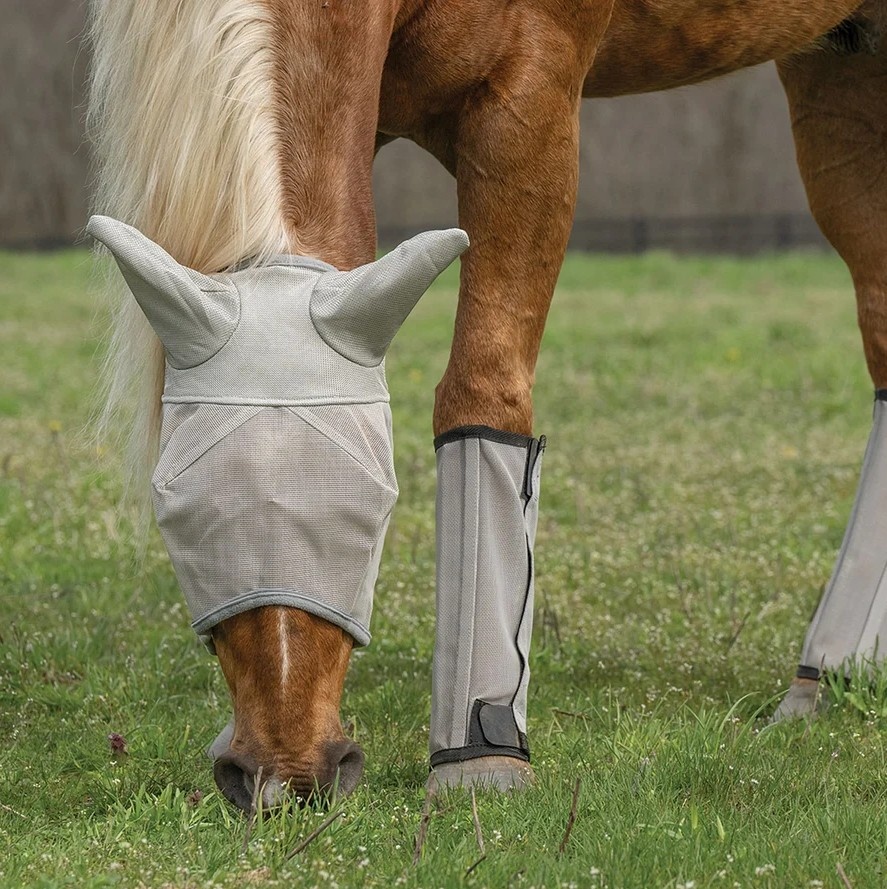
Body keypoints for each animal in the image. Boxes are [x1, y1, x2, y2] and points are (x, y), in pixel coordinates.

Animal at [87, 0, 887, 810]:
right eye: (177, 513)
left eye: (375, 510)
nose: (286, 773)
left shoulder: (528, 106)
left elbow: (480, 390)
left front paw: (479, 754)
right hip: (837, 72)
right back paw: (830, 673)